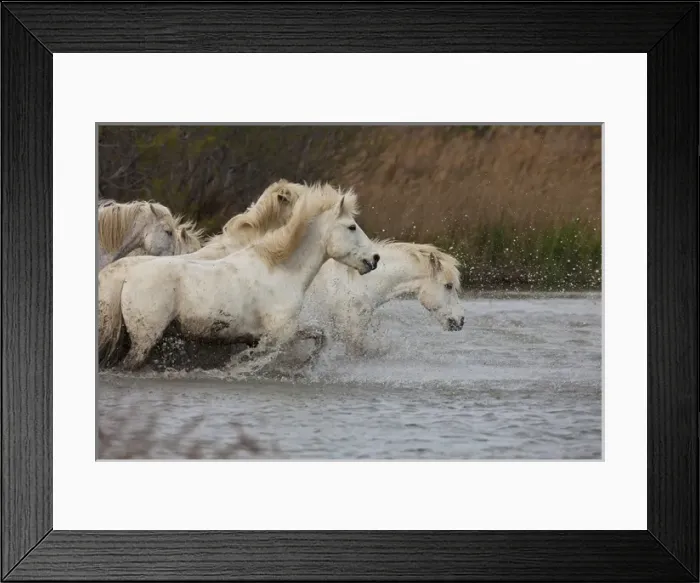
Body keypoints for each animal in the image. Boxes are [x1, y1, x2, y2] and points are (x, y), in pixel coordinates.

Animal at [98, 183, 381, 370]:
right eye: (352, 227)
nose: (375, 258)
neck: (280, 269)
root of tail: (125, 276)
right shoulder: (279, 334)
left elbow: (321, 336)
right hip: (145, 339)